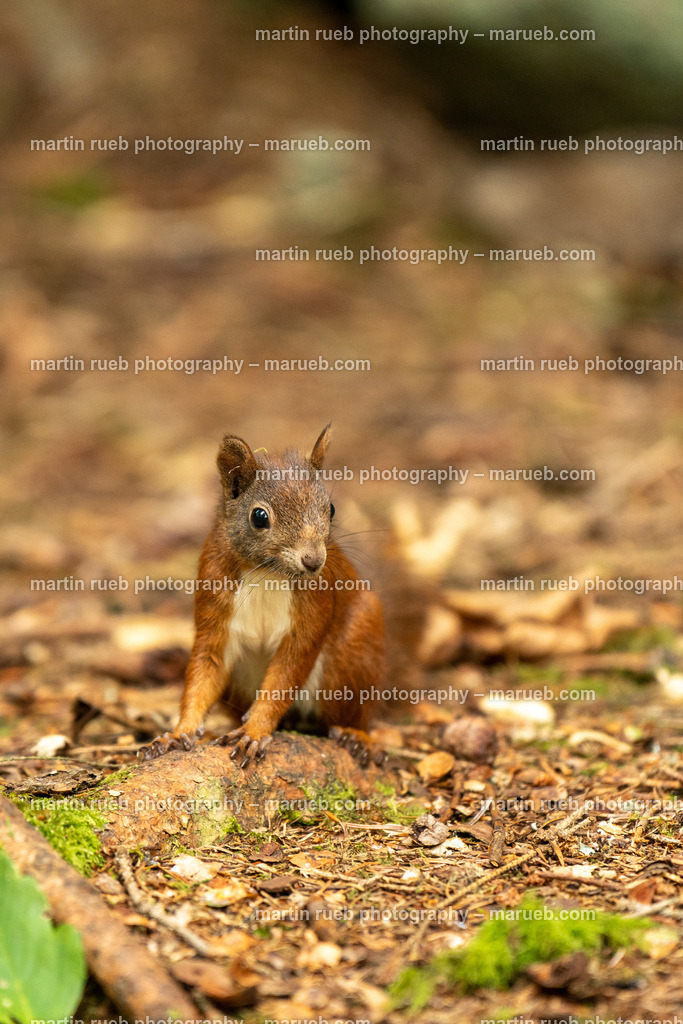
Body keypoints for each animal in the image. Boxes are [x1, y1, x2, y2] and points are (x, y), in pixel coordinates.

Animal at [139, 424, 387, 768]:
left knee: (355, 714)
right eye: (259, 517)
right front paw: (179, 732)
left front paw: (254, 731)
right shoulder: (214, 605)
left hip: (352, 656)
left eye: (332, 509)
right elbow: (204, 673)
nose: (313, 561)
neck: (268, 574)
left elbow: (283, 678)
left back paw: (357, 737)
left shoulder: (312, 613)